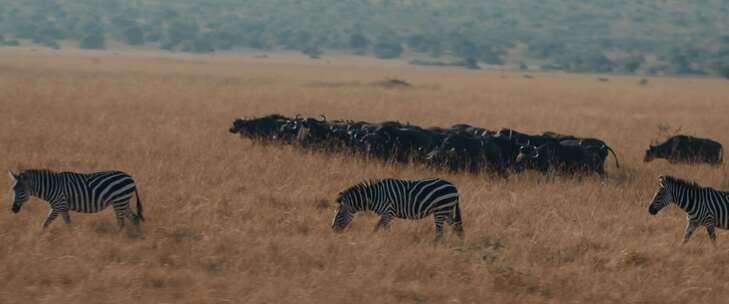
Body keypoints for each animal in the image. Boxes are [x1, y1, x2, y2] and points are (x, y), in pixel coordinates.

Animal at [8, 169, 144, 230]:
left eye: (21, 191)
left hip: (119, 201)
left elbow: (45, 223)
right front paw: (71, 236)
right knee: (134, 218)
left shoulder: (58, 205)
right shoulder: (63, 207)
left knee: (122, 223)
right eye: (13, 189)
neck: (51, 187)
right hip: (123, 202)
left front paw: (40, 236)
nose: (13, 209)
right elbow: (68, 223)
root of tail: (130, 177)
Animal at [332, 178, 464, 240]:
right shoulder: (387, 214)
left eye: (338, 214)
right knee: (456, 226)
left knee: (440, 232)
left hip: (440, 210)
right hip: (447, 211)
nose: (332, 230)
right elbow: (380, 228)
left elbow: (382, 229)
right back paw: (459, 245)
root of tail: (454, 188)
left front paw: (383, 241)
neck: (374, 196)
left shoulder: (388, 212)